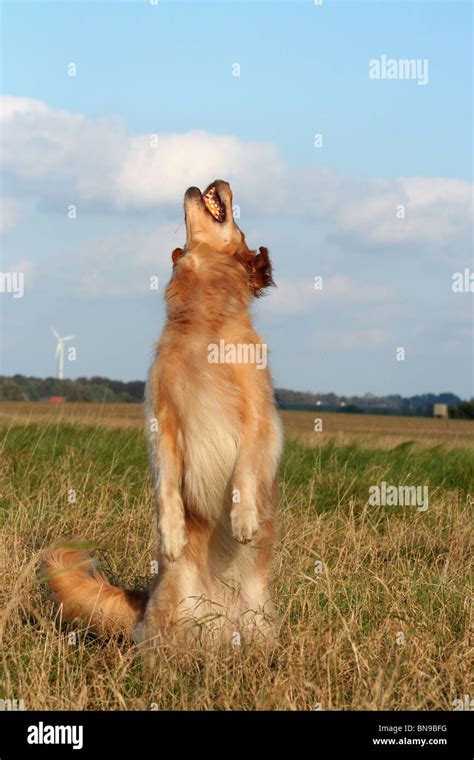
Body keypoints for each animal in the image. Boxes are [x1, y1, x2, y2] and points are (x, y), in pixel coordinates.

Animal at [43, 181, 282, 652]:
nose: (216, 181)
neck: (206, 323)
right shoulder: (162, 420)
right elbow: (166, 487)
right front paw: (172, 533)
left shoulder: (260, 416)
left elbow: (245, 469)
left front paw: (243, 518)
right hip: (173, 610)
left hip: (261, 620)